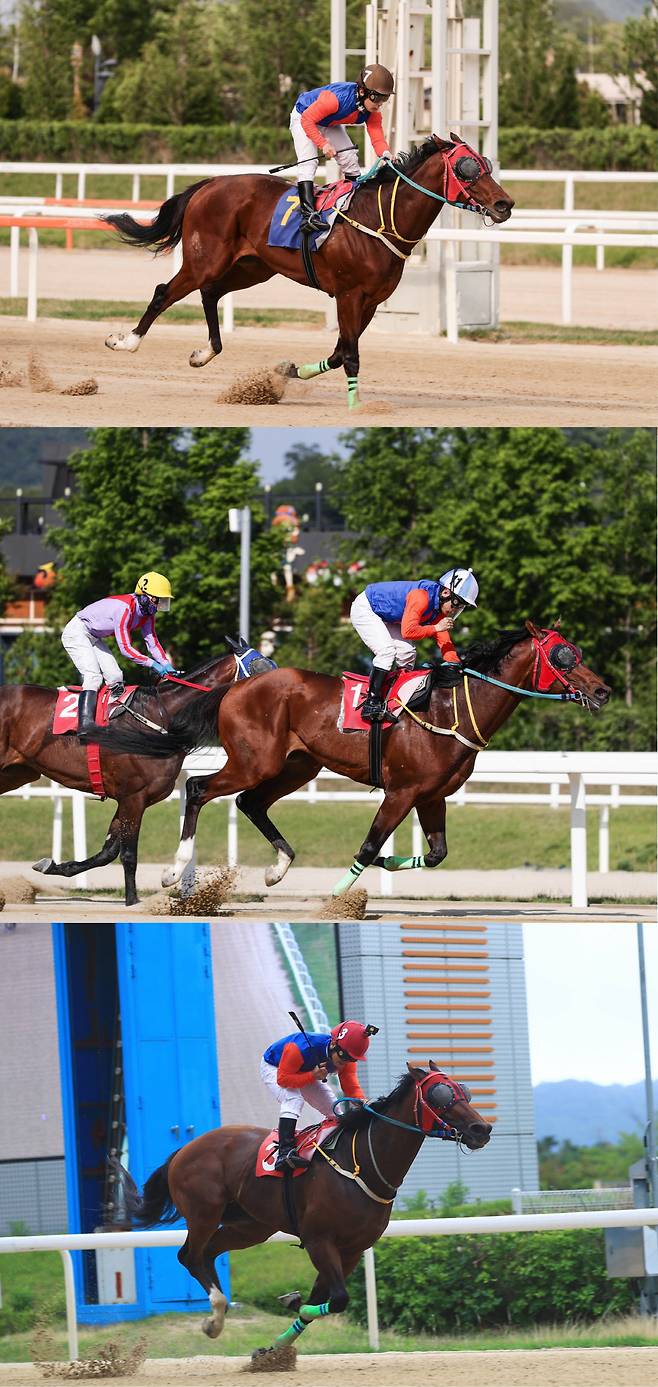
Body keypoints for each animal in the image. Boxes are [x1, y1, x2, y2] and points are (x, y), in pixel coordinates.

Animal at [0, 643, 267, 904]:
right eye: (260, 665)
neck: (159, 718)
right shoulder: (133, 796)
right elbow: (128, 853)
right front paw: (132, 900)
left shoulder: (130, 798)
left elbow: (108, 852)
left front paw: (53, 866)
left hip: (18, 773)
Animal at [90, 621, 608, 898]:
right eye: (564, 656)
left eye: (579, 651)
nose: (602, 690)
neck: (451, 709)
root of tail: (236, 687)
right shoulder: (402, 791)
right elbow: (368, 845)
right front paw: (339, 894)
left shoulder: (432, 795)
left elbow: (436, 854)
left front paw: (388, 865)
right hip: (256, 761)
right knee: (199, 788)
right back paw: (173, 872)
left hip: (297, 765)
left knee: (250, 803)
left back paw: (278, 868)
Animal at [104, 135, 513, 405]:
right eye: (467, 168)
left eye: (487, 164)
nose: (505, 204)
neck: (380, 218)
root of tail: (211, 183)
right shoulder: (349, 294)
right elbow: (350, 354)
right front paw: (356, 408)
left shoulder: (370, 301)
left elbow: (339, 352)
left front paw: (289, 372)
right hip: (205, 261)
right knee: (165, 292)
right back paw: (126, 341)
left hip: (253, 267)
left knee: (211, 293)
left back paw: (204, 353)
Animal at [110, 1059, 488, 1353]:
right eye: (441, 1095)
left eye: (463, 1091)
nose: (481, 1129)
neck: (362, 1162)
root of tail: (183, 1150)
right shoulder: (320, 1240)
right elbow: (339, 1298)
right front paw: (289, 1312)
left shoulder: (352, 1249)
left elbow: (323, 1300)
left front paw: (278, 1341)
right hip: (204, 1212)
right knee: (189, 1255)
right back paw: (214, 1318)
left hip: (251, 1226)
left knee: (208, 1253)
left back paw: (220, 1313)